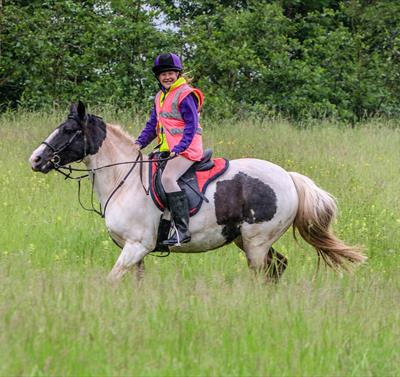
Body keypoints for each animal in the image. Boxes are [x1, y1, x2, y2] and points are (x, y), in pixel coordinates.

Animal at [28, 103, 366, 282]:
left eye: (68, 130)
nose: (36, 159)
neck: (124, 180)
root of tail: (288, 177)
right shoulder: (134, 251)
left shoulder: (136, 246)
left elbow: (112, 279)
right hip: (245, 240)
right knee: (278, 267)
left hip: (256, 241)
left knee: (264, 272)